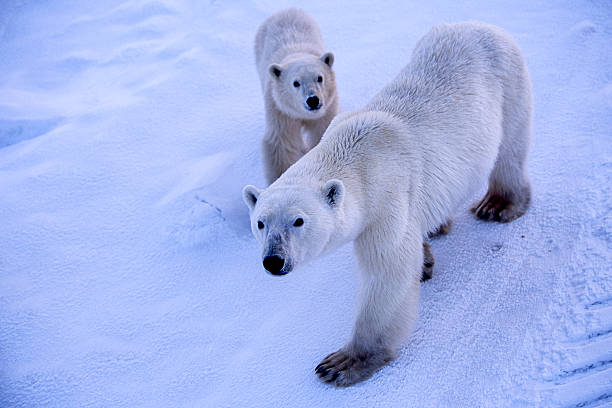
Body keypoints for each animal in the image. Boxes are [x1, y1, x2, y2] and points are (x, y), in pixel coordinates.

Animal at [255, 8, 340, 183]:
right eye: (296, 83)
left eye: (320, 78)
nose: (313, 100)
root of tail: (285, 10)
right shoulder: (280, 109)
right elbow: (281, 143)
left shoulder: (327, 108)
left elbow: (321, 132)